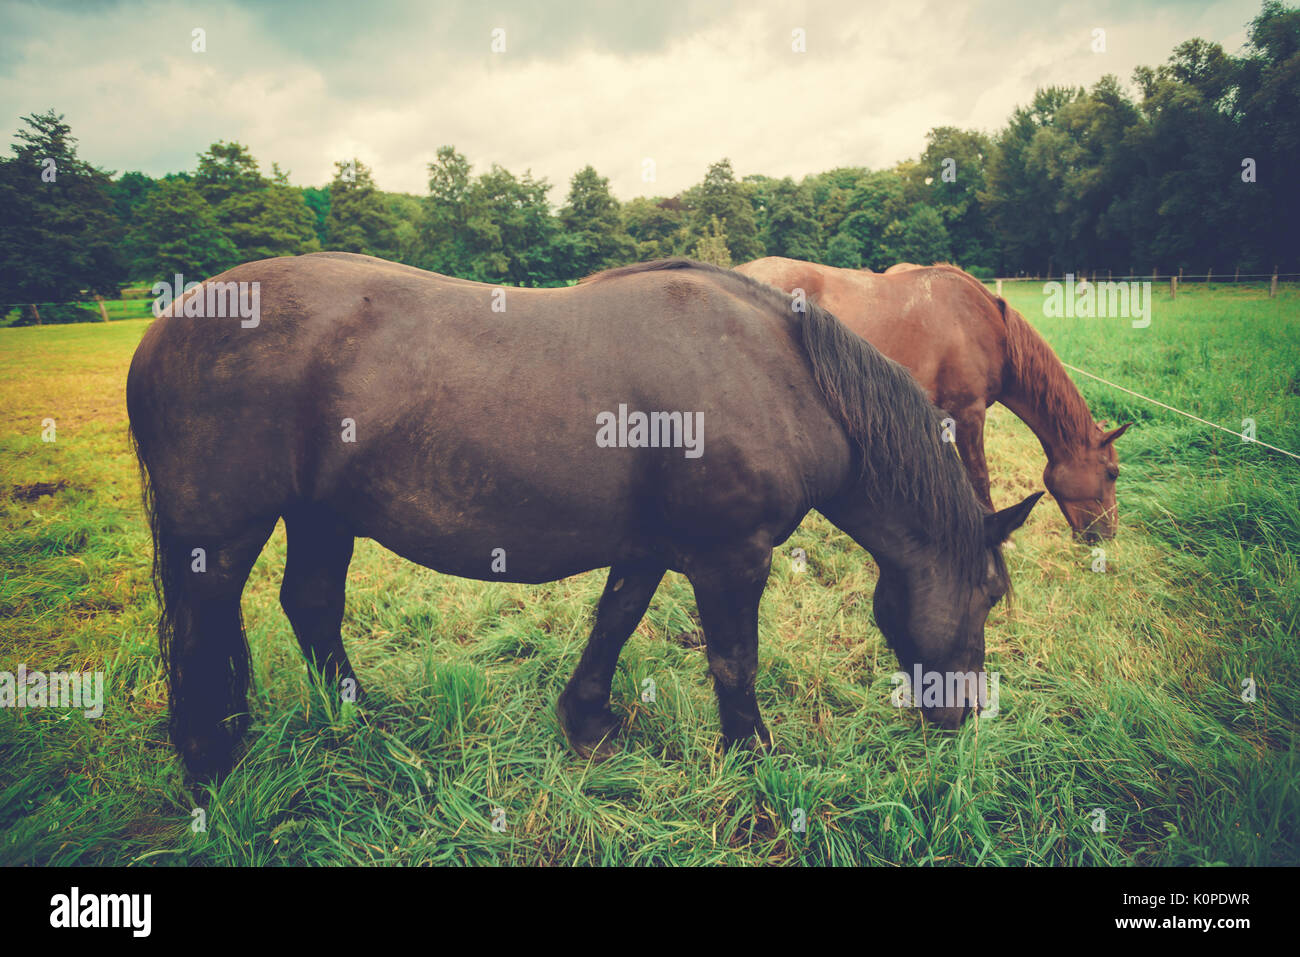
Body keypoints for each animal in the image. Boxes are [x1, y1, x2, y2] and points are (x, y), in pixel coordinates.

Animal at [126, 252, 1041, 781]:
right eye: (991, 596)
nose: (961, 715)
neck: (784, 375)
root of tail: (165, 327)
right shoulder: (730, 556)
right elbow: (734, 660)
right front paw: (754, 756)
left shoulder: (655, 544)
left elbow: (616, 616)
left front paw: (589, 722)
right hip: (220, 536)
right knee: (207, 628)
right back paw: (211, 760)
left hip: (321, 514)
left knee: (312, 607)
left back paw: (362, 721)